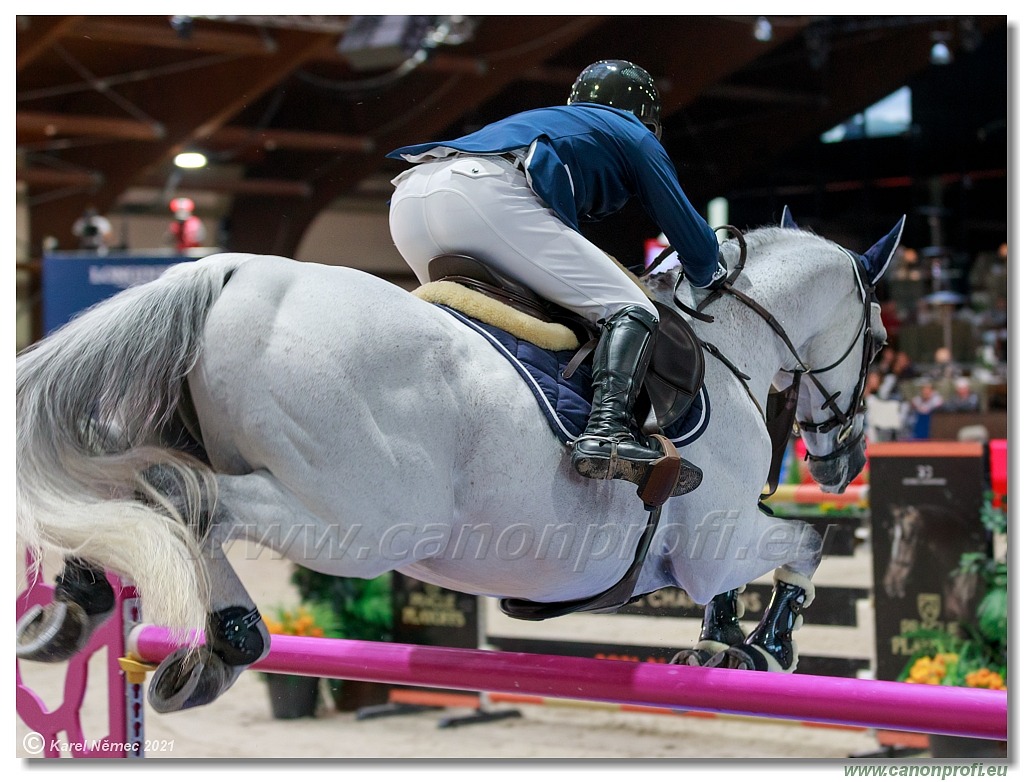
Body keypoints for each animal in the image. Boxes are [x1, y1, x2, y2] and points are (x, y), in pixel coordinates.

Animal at [14, 210, 897, 712]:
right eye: (883, 341)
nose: (843, 462)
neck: (730, 345)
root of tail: (228, 270)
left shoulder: (714, 542)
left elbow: (778, 554)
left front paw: (725, 644)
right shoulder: (714, 541)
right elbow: (806, 542)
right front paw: (769, 644)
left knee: (130, 490)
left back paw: (89, 612)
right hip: (360, 522)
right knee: (182, 498)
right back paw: (224, 636)